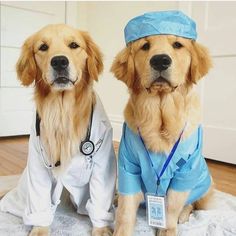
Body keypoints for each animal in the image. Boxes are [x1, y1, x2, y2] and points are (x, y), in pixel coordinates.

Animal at [0, 24, 116, 236]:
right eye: (43, 47)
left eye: (74, 45)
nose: (60, 61)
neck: (63, 111)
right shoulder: (37, 163)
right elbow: (39, 200)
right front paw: (39, 229)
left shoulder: (103, 163)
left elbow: (101, 196)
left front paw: (102, 229)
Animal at [110, 11, 214, 236]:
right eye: (145, 46)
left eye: (177, 45)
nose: (160, 60)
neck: (160, 118)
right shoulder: (128, 166)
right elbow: (126, 209)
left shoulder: (185, 172)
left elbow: (173, 206)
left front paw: (168, 228)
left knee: (191, 204)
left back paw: (184, 215)